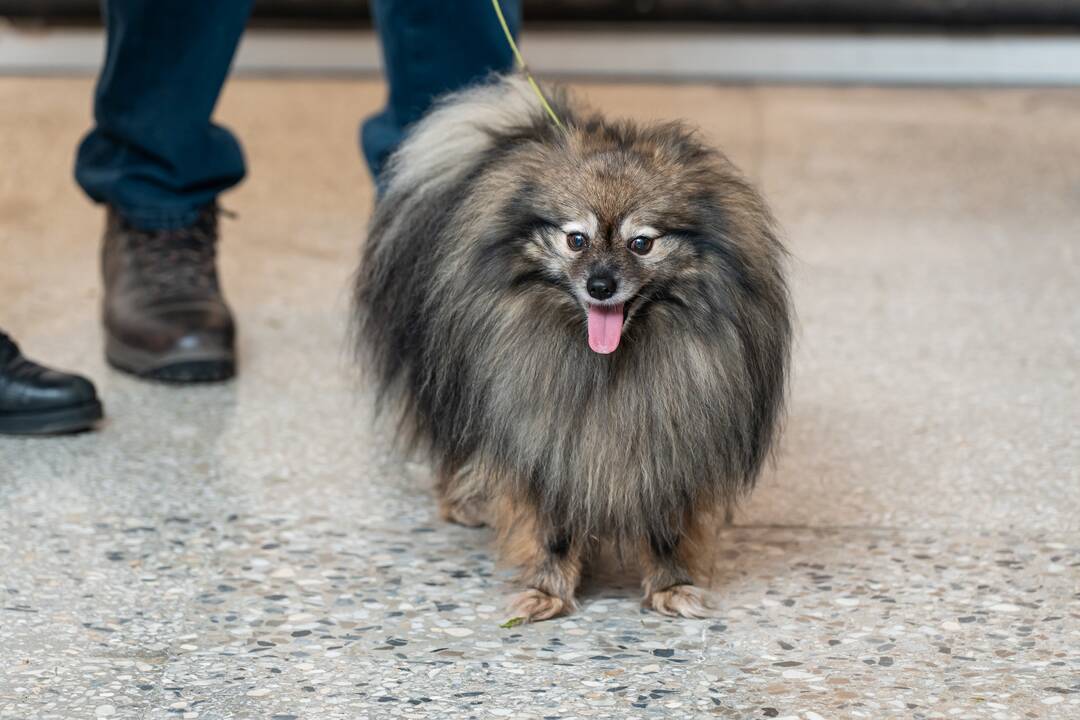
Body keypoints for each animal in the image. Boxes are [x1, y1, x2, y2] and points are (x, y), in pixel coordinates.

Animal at [356, 77, 794, 621]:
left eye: (641, 243)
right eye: (576, 240)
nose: (601, 285)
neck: (608, 365)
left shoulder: (673, 441)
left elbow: (668, 527)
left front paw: (672, 585)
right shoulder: (545, 437)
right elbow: (552, 525)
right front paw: (547, 590)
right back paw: (464, 499)